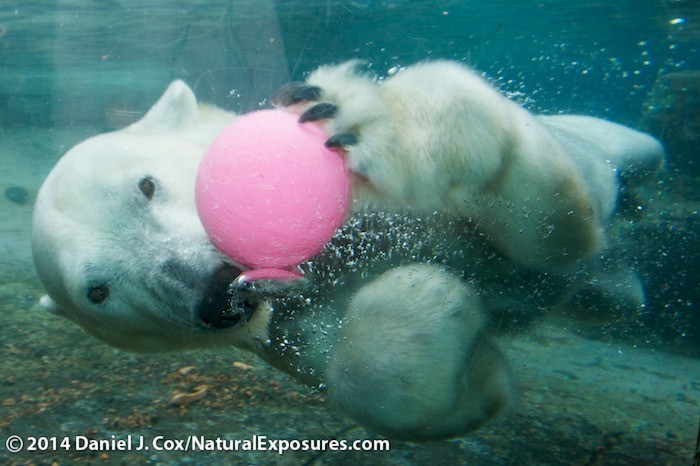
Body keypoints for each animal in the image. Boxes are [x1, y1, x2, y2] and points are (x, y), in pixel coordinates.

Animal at [31, 60, 664, 441]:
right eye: (99, 291)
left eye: (145, 185)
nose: (213, 290)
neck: (328, 255)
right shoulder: (292, 327)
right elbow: (366, 382)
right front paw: (429, 301)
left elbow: (559, 224)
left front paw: (367, 118)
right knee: (604, 297)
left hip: (601, 139)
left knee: (627, 150)